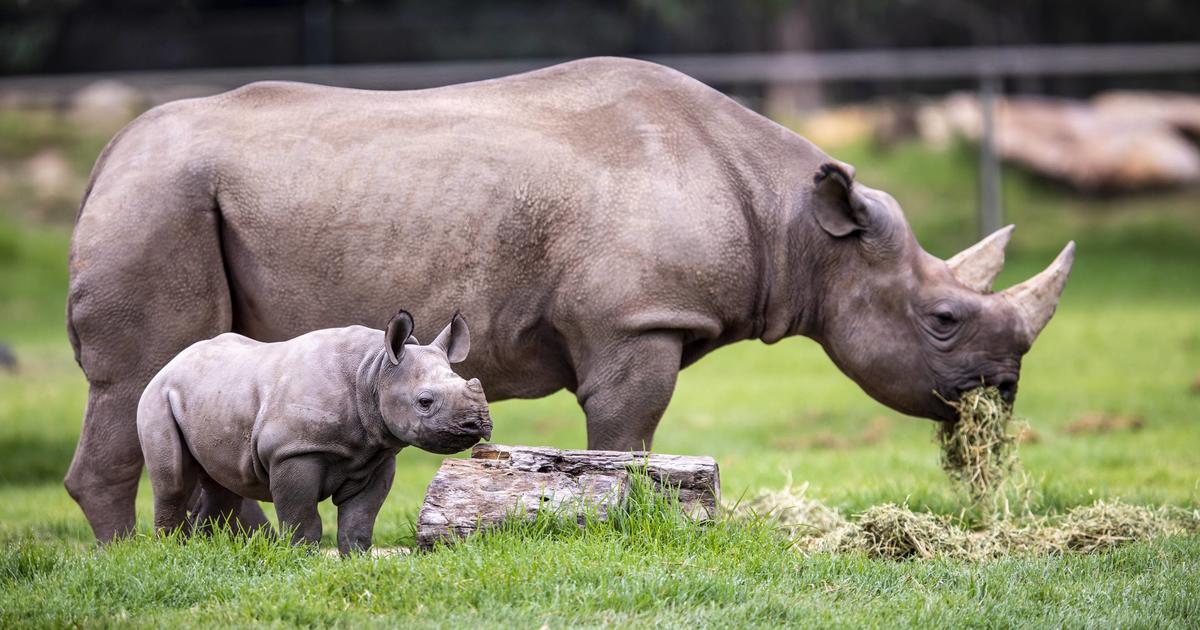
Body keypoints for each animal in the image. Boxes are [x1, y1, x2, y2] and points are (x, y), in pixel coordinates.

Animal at [132, 312, 487, 552]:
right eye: (424, 402)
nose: (477, 424)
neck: (374, 371)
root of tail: (171, 363)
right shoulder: (292, 451)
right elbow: (302, 519)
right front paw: (301, 560)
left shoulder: (376, 454)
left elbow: (359, 520)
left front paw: (356, 560)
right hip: (157, 397)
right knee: (174, 482)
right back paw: (173, 552)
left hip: (215, 393)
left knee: (223, 485)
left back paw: (207, 552)